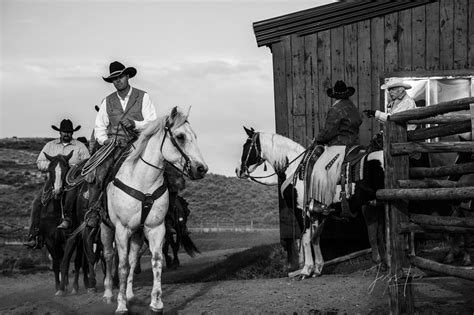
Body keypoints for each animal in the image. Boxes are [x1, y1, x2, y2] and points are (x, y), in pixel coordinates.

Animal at [101, 107, 206, 314]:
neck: (143, 181)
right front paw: (121, 305)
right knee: (109, 256)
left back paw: (130, 295)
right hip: (106, 228)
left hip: (137, 234)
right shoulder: (122, 229)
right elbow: (122, 266)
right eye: (180, 136)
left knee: (133, 259)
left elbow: (156, 261)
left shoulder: (156, 228)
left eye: (195, 136)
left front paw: (156, 303)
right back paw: (109, 293)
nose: (202, 168)